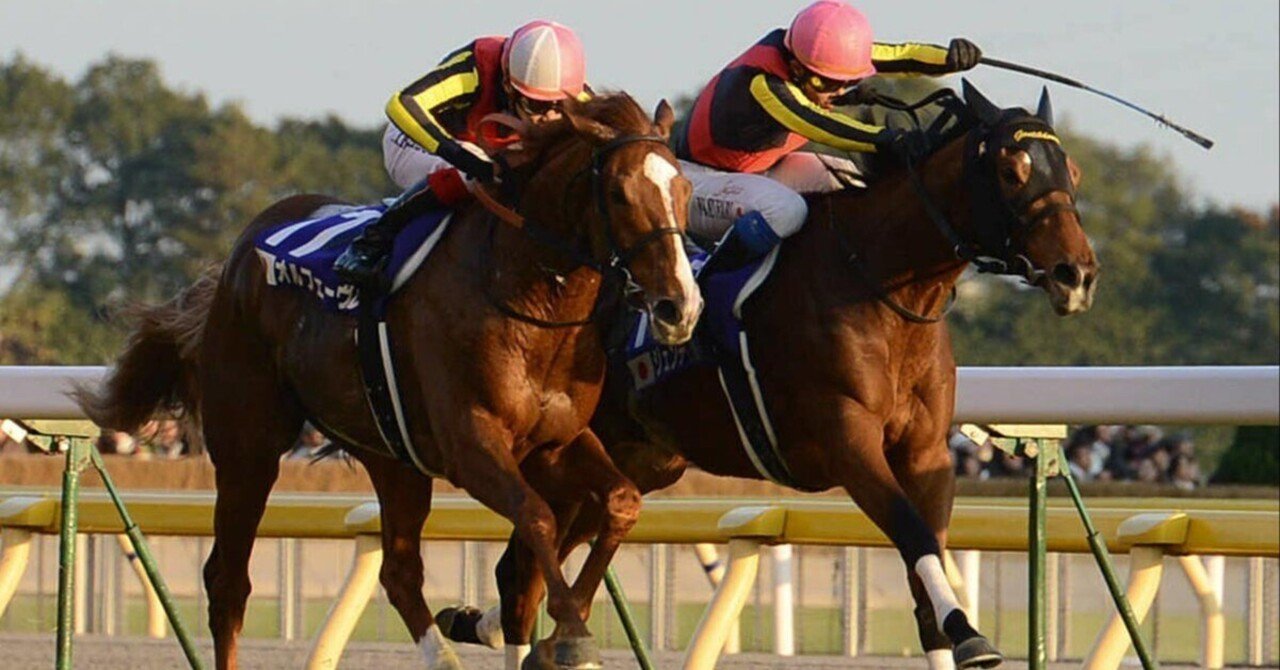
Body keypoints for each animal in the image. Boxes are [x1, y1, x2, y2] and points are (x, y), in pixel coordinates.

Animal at [75, 92, 704, 670]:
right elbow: (537, 517)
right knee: (228, 582)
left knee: (400, 569)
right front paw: (570, 633)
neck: (528, 297)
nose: (680, 306)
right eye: (619, 193)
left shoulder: (555, 444)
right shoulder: (472, 445)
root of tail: (238, 255)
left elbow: (619, 503)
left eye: (684, 192)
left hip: (390, 452)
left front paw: (553, 631)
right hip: (248, 444)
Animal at [438, 82, 1099, 669]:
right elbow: (912, 533)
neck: (877, 282)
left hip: (637, 457)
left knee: (534, 558)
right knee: (522, 566)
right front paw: (972, 632)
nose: (1077, 273)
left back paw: (483, 623)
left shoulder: (927, 452)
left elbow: (927, 565)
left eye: (1070, 170)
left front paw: (957, 634)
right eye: (1012, 169)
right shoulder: (847, 439)